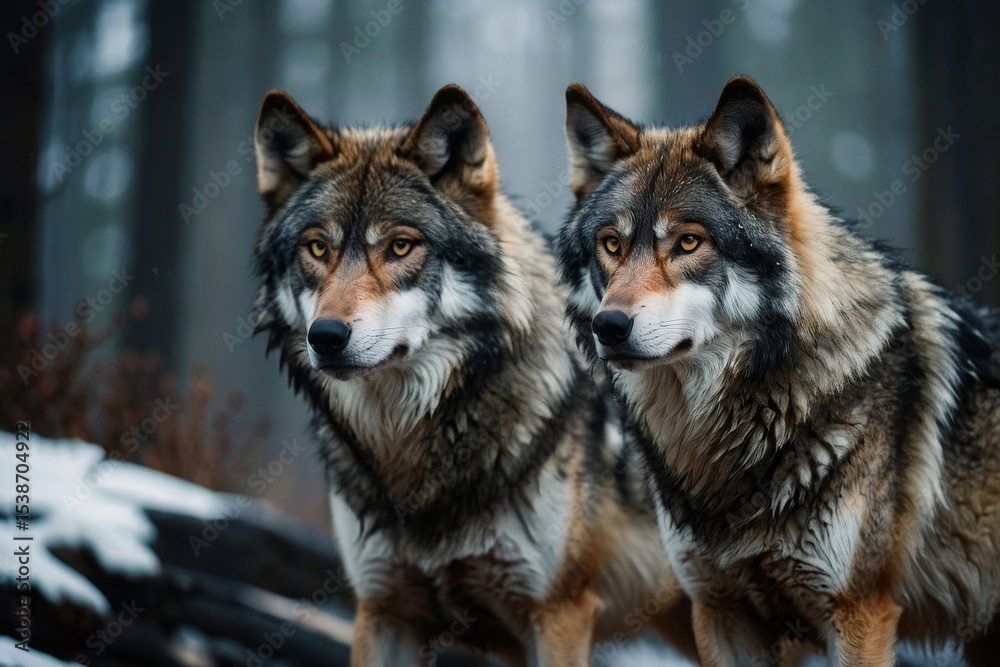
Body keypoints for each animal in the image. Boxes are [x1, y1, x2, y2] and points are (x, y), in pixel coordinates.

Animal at [250, 85, 696, 665]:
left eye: (400, 246)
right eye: (317, 248)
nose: (325, 336)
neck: (412, 452)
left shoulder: (558, 614)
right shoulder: (384, 608)